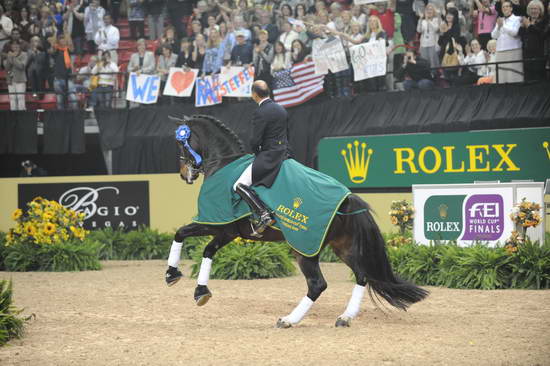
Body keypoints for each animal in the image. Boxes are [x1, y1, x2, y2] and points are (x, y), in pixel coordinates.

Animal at [172, 115, 432, 328]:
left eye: (181, 143)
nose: (184, 175)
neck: (224, 164)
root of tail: (348, 197)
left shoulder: (216, 223)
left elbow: (181, 233)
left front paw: (171, 275)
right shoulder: (228, 230)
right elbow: (207, 250)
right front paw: (200, 292)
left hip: (304, 247)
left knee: (318, 284)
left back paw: (289, 320)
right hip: (342, 246)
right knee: (362, 275)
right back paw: (345, 317)